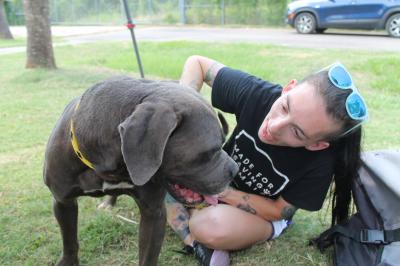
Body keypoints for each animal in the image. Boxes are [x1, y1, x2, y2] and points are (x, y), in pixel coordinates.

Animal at [43, 76, 238, 264]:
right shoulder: (63, 202)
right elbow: (69, 241)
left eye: (223, 141)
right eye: (212, 150)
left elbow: (148, 257)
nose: (235, 169)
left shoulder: (153, 212)